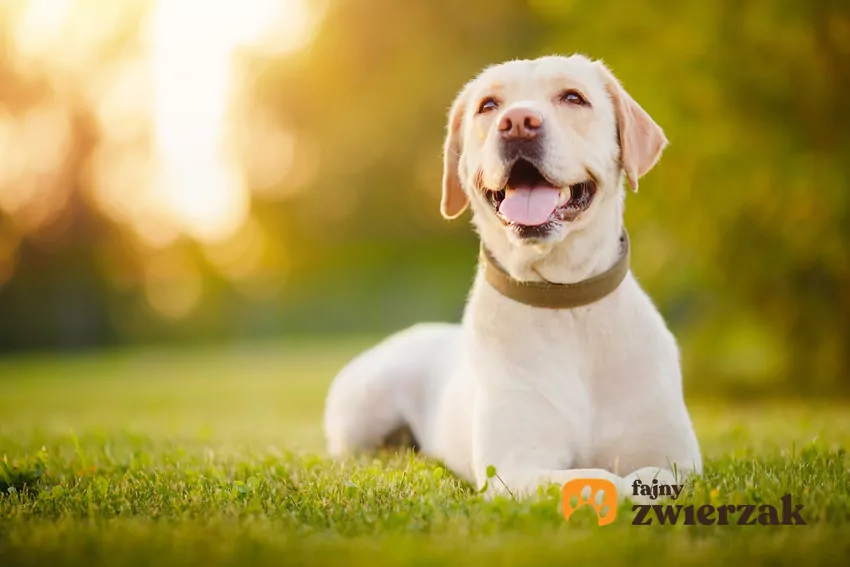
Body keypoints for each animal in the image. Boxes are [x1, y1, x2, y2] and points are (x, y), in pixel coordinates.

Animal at [322, 54, 700, 502]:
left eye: (573, 97)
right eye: (488, 106)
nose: (518, 122)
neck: (564, 300)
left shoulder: (678, 458)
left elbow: (651, 479)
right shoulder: (513, 468)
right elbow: (599, 481)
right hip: (360, 412)